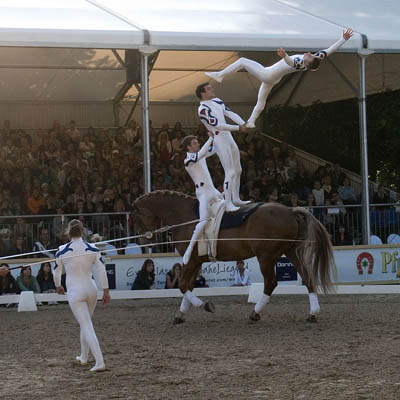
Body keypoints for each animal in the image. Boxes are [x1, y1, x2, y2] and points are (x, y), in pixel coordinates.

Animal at [135, 189, 338, 324]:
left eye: (137, 215)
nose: (143, 239)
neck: (186, 217)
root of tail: (290, 210)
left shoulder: (191, 260)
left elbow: (183, 285)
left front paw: (205, 306)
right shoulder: (197, 261)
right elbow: (188, 285)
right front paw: (180, 315)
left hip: (266, 256)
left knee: (271, 283)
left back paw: (254, 314)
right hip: (290, 252)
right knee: (307, 277)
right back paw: (312, 314)